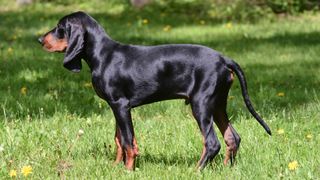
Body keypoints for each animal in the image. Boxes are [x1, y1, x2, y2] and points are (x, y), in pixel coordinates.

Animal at [38, 11, 272, 170]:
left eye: (60, 27)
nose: (40, 40)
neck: (103, 55)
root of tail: (224, 59)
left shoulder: (121, 105)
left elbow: (128, 141)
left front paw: (128, 170)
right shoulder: (116, 106)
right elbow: (119, 140)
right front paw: (116, 167)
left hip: (201, 104)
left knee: (212, 143)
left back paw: (196, 170)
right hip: (218, 104)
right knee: (233, 138)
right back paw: (225, 169)